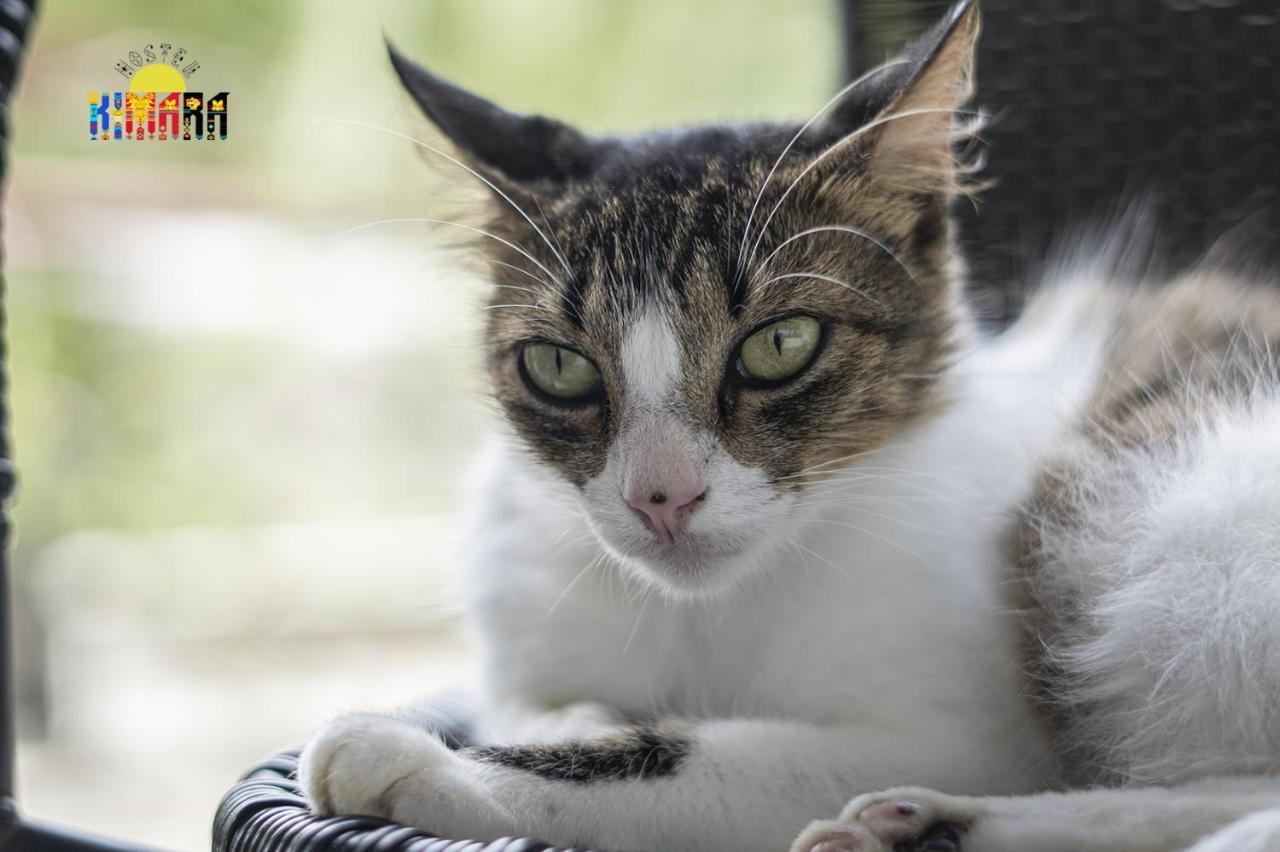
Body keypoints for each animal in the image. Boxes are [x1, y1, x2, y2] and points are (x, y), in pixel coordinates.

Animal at [296, 3, 1280, 844]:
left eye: (780, 344)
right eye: (560, 367)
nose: (661, 496)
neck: (706, 613)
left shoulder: (967, 735)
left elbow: (695, 754)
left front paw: (426, 761)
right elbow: (545, 703)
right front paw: (567, 715)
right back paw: (933, 826)